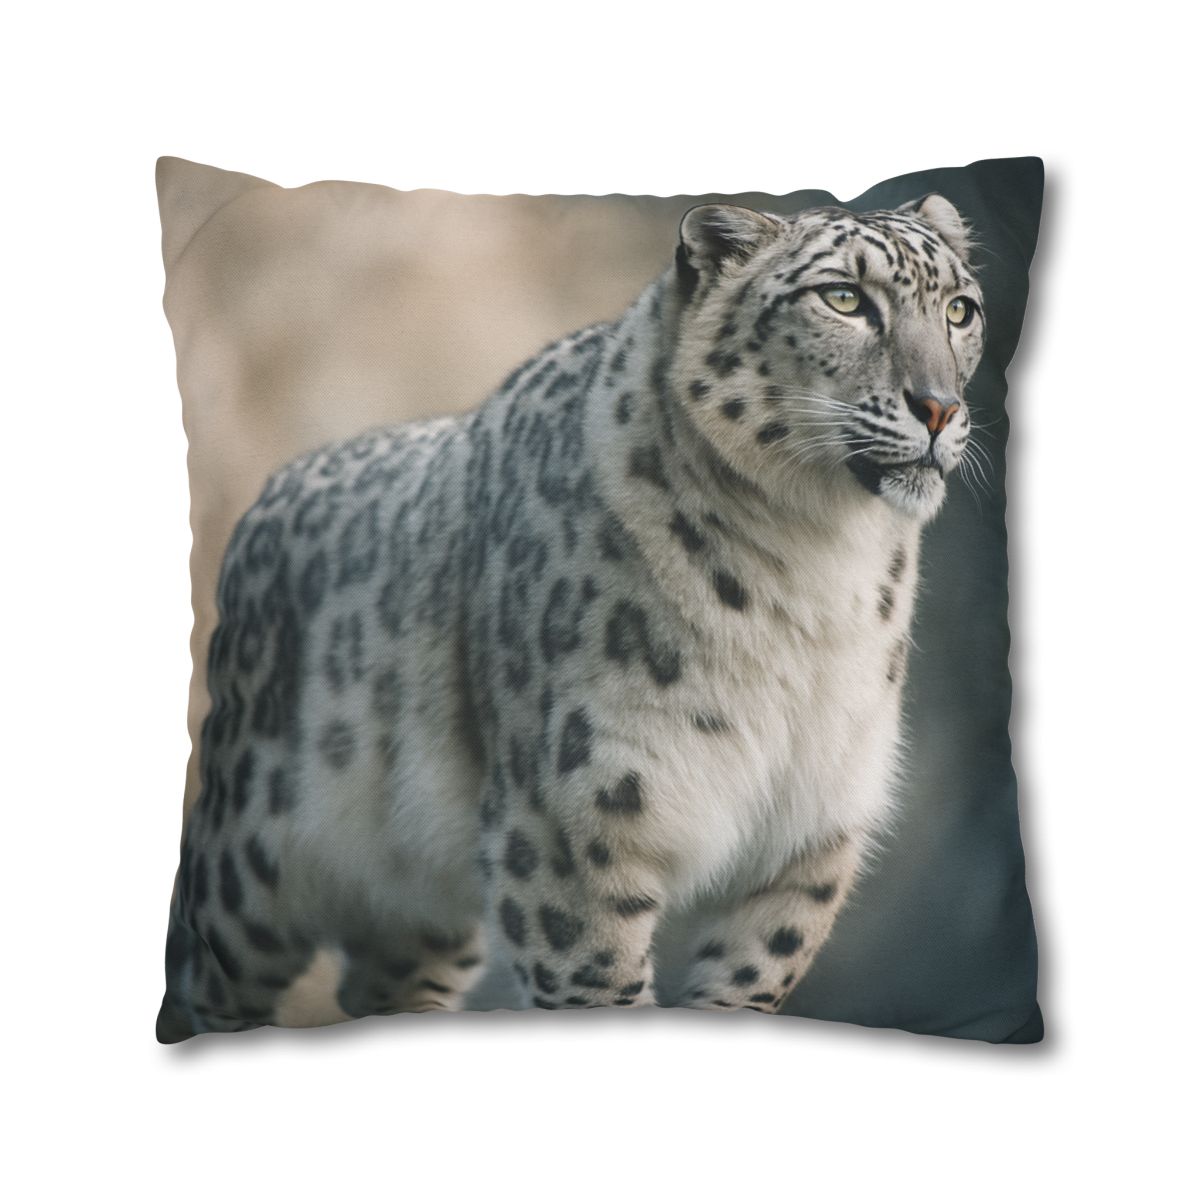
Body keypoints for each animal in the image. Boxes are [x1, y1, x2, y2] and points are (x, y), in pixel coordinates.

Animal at [157, 193, 985, 1040]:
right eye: (843, 298)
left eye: (960, 310)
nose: (939, 406)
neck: (818, 565)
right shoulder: (573, 827)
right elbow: (599, 984)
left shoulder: (807, 835)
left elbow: (747, 982)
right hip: (248, 869)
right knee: (203, 975)